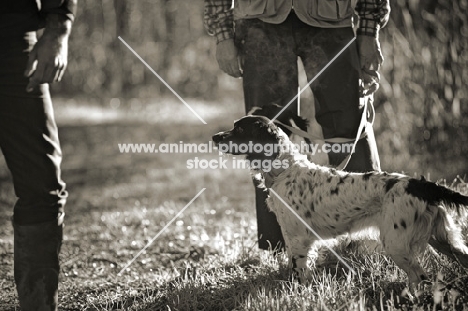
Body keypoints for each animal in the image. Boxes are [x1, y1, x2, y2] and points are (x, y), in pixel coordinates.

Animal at [214, 114, 468, 290]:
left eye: (239, 128)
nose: (215, 137)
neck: (285, 170)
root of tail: (420, 184)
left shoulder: (296, 239)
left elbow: (298, 273)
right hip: (443, 240)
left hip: (397, 243)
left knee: (420, 277)